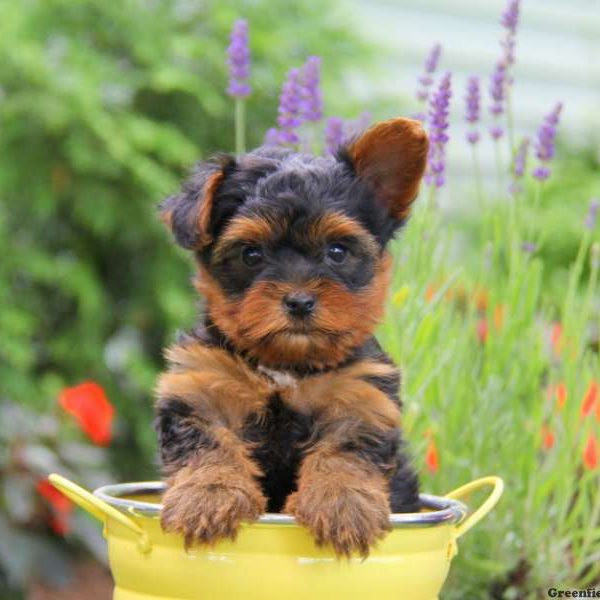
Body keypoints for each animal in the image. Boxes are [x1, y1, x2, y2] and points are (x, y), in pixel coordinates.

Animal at [155, 117, 426, 556]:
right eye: (251, 255)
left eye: (337, 252)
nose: (299, 301)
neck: (286, 363)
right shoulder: (201, 390)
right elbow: (210, 443)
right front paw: (209, 495)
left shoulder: (359, 399)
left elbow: (344, 453)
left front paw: (342, 505)